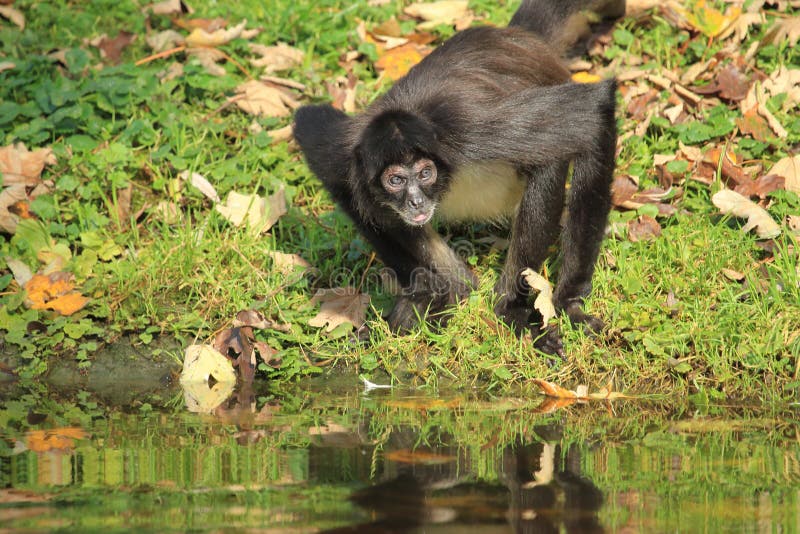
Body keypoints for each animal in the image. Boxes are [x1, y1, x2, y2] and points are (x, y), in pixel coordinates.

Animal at [294, 1, 624, 356]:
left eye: (425, 173)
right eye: (395, 181)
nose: (415, 201)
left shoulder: (468, 130)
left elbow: (593, 108)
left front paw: (560, 303)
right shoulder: (346, 152)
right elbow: (327, 158)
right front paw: (435, 291)